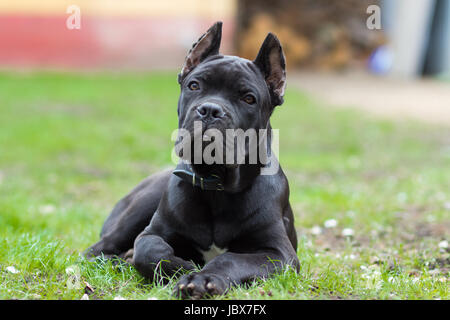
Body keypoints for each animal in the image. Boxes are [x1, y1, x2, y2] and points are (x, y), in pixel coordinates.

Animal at [86, 22, 300, 300]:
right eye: (195, 86)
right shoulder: (152, 233)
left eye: (248, 98)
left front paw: (203, 278)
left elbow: (231, 259)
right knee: (97, 249)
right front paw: (183, 267)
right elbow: (149, 250)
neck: (217, 186)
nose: (210, 110)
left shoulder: (278, 253)